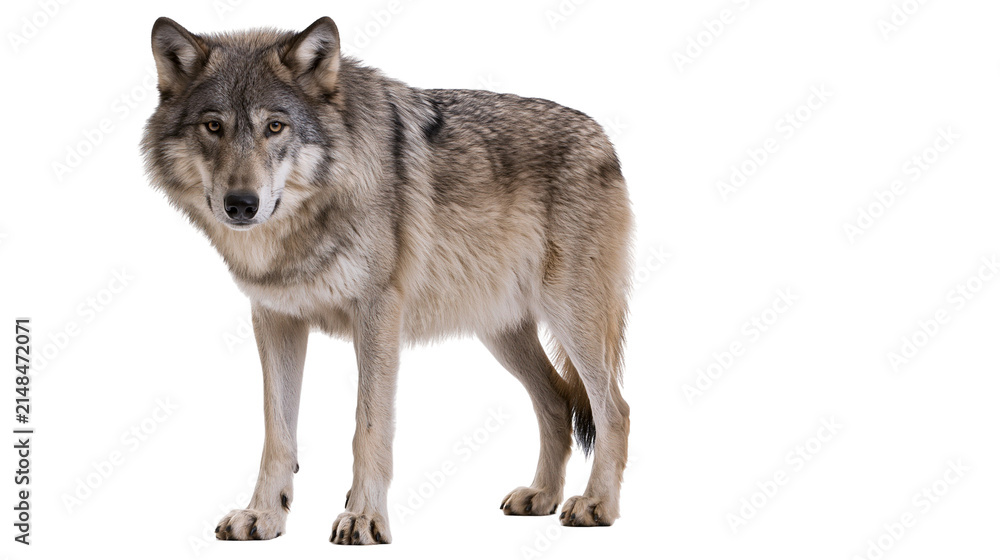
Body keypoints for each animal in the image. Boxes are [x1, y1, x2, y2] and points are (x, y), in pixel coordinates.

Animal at [141, 16, 633, 545]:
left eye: (275, 127)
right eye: (213, 126)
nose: (241, 204)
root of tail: (605, 139)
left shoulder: (378, 314)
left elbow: (369, 428)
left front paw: (363, 518)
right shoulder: (275, 319)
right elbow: (277, 433)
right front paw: (264, 515)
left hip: (571, 318)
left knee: (614, 410)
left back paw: (596, 504)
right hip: (502, 333)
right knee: (558, 403)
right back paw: (541, 496)